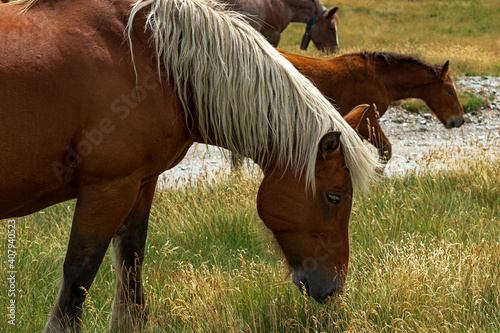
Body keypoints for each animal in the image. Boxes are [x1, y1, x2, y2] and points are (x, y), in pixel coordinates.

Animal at [0, 0, 376, 330]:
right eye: (334, 197)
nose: (334, 288)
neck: (153, 59)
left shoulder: (141, 182)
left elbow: (131, 261)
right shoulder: (107, 189)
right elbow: (79, 274)